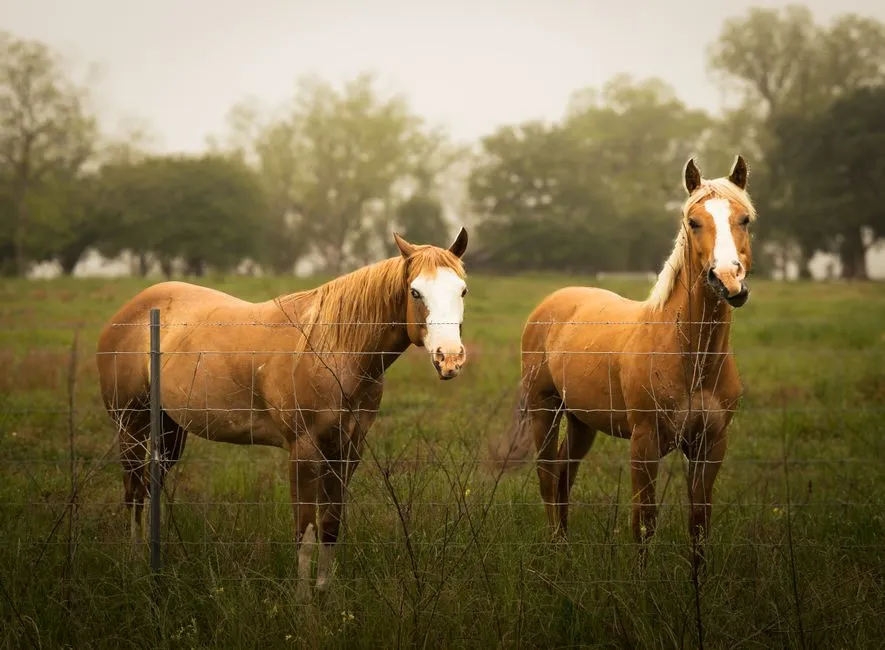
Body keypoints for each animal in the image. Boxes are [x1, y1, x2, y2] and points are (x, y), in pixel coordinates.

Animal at [96, 228, 470, 597]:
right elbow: (304, 531)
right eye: (415, 291)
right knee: (134, 492)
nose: (449, 358)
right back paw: (136, 565)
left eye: (462, 289)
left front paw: (325, 594)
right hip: (131, 426)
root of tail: (127, 313)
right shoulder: (303, 451)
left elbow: (330, 525)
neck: (332, 350)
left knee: (148, 488)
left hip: (169, 431)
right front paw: (303, 603)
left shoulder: (346, 451)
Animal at [491, 156, 756, 566]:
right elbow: (643, 523)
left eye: (744, 219)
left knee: (565, 473)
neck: (691, 357)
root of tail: (551, 302)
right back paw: (557, 551)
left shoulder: (711, 445)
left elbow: (699, 523)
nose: (727, 280)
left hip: (581, 420)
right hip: (544, 410)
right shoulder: (644, 443)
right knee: (548, 476)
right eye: (693, 221)